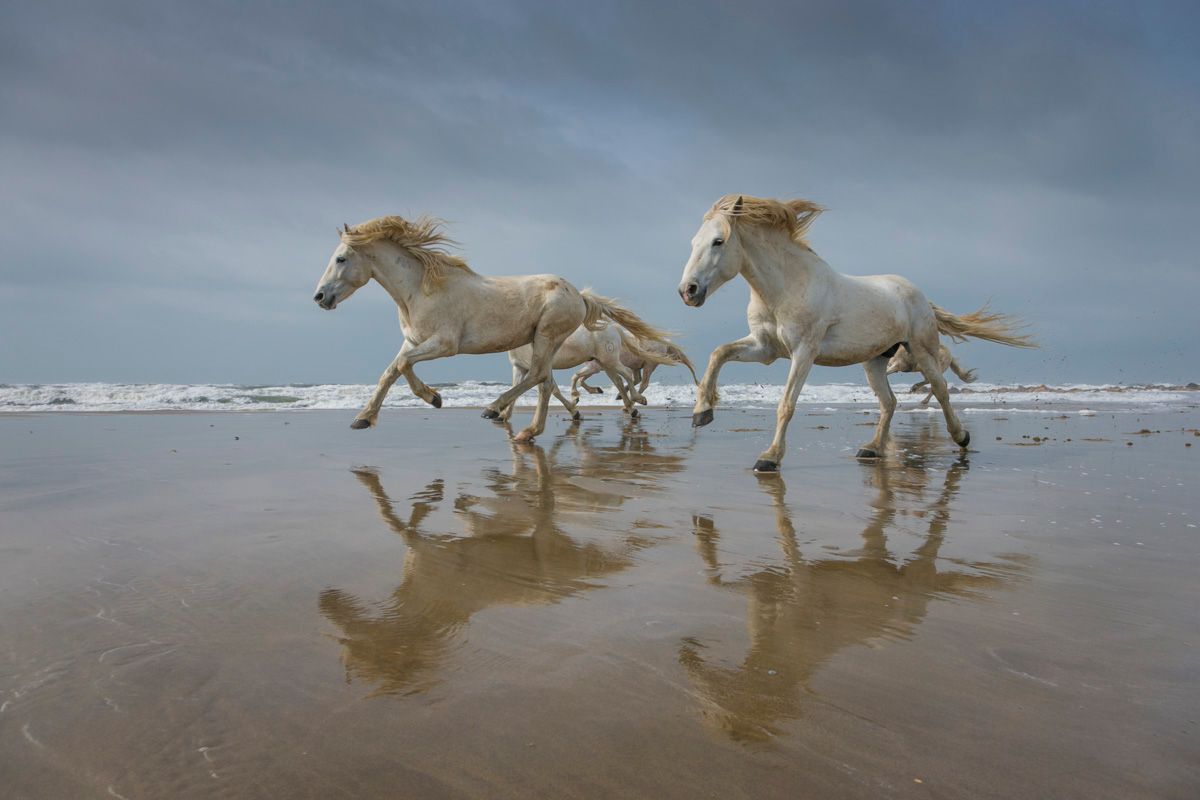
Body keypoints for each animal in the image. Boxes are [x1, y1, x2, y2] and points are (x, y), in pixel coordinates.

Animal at [500, 321, 678, 422]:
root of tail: (614, 327)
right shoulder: (520, 368)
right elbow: (517, 389)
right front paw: (503, 415)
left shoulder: (539, 370)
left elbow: (552, 390)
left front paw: (575, 410)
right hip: (604, 363)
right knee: (619, 382)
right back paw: (630, 408)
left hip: (609, 361)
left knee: (627, 374)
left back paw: (638, 400)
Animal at [570, 327, 699, 400]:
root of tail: (666, 343)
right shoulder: (593, 367)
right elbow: (581, 379)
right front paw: (597, 390)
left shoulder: (594, 367)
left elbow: (578, 376)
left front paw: (594, 390)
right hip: (636, 365)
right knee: (637, 379)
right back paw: (620, 395)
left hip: (649, 363)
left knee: (644, 383)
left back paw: (634, 398)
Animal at [677, 195, 1035, 472]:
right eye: (693, 243)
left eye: (718, 241)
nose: (687, 291)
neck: (786, 288)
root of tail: (918, 294)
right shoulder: (764, 349)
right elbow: (718, 353)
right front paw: (701, 414)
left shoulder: (803, 352)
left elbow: (786, 404)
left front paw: (769, 458)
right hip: (875, 361)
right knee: (890, 402)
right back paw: (872, 449)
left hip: (921, 351)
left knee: (940, 389)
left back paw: (961, 437)